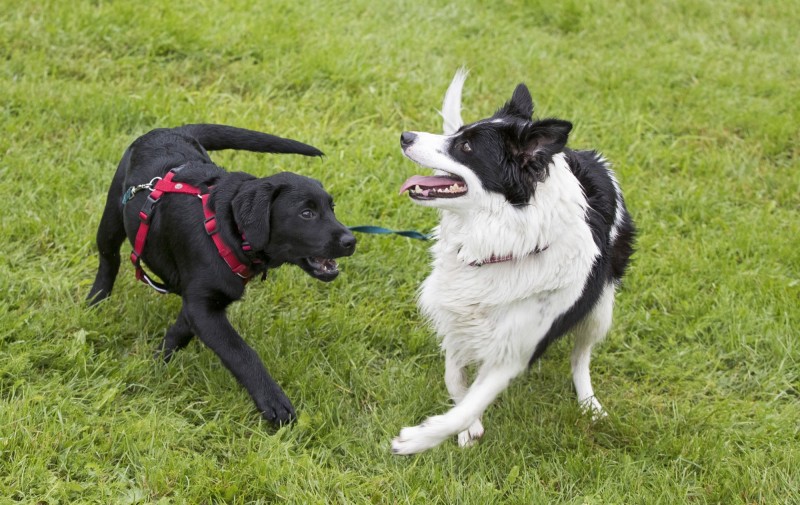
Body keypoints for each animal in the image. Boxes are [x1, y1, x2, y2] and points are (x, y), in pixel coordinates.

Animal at [86, 124, 356, 424]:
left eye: (331, 209)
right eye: (306, 213)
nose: (351, 241)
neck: (226, 229)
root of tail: (169, 130)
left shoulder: (199, 303)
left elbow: (180, 332)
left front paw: (158, 360)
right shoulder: (204, 308)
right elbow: (241, 353)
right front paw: (273, 402)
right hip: (112, 215)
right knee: (109, 258)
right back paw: (95, 301)